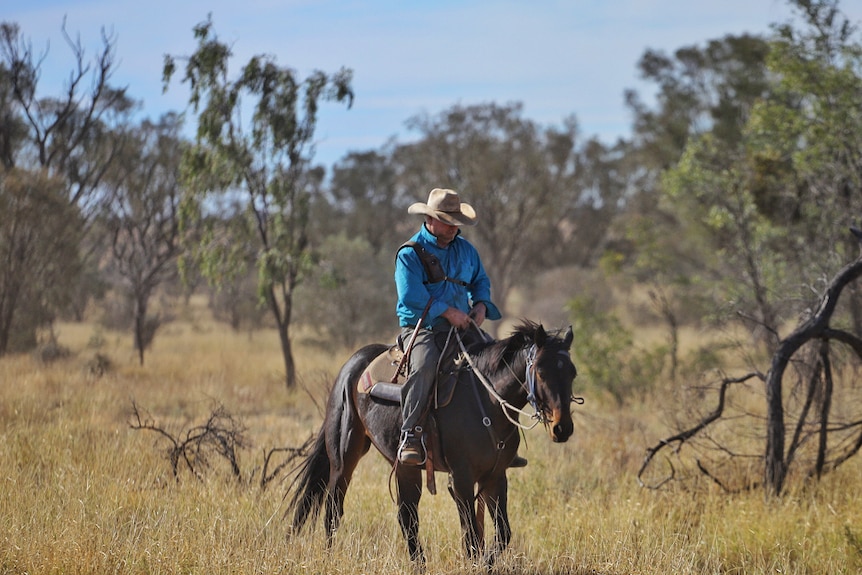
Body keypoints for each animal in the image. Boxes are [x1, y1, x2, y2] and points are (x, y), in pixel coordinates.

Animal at [286, 320, 577, 569]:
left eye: (572, 373)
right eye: (541, 371)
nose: (563, 428)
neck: (487, 400)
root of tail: (353, 364)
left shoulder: (495, 476)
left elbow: (501, 533)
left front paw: (485, 564)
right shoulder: (460, 478)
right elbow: (472, 536)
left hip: (404, 465)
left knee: (407, 516)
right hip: (344, 456)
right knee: (333, 509)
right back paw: (329, 558)